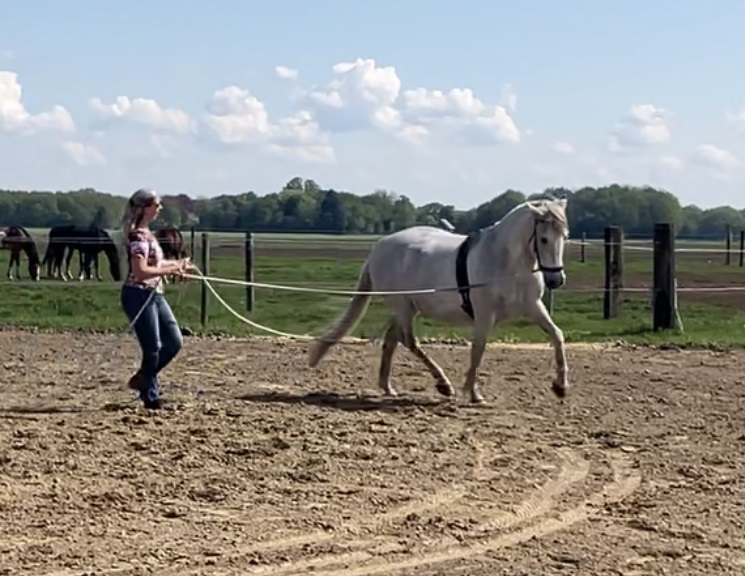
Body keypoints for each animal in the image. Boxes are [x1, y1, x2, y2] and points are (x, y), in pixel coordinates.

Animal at [308, 198, 568, 404]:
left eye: (564, 236)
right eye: (544, 239)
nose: (556, 280)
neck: (505, 262)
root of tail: (379, 247)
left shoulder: (533, 307)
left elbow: (557, 335)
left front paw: (561, 386)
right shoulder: (484, 314)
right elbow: (478, 349)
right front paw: (473, 393)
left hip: (406, 308)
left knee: (392, 340)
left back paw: (388, 387)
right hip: (403, 306)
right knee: (408, 341)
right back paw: (443, 384)